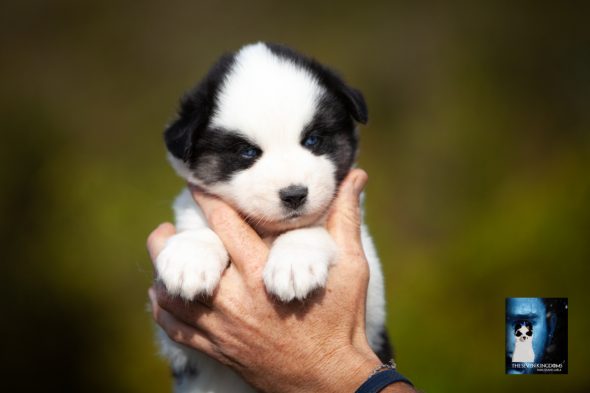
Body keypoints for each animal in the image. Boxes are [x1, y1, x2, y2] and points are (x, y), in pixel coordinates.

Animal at [155, 41, 390, 390]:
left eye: (313, 140)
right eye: (247, 153)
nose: (294, 194)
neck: (267, 233)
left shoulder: (371, 307)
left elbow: (311, 229)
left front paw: (293, 263)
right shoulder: (178, 338)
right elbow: (201, 227)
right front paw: (190, 259)